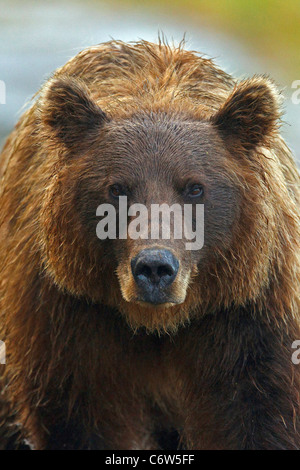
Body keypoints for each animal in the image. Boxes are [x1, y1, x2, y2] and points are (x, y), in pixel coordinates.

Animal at [0, 39, 298, 448]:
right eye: (117, 188)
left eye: (194, 187)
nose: (154, 267)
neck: (158, 325)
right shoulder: (69, 317)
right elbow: (82, 418)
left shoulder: (247, 313)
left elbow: (257, 415)